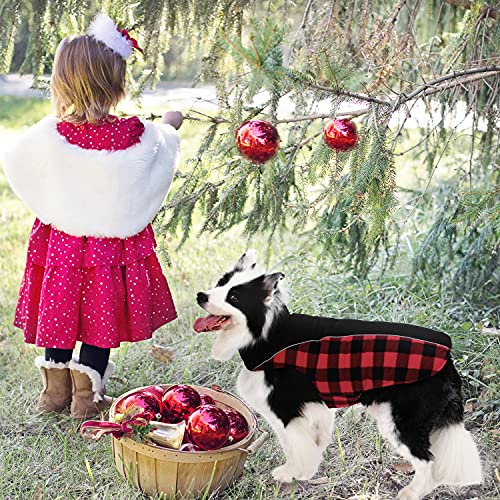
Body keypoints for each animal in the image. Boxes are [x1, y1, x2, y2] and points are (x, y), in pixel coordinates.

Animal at [193, 252, 482, 498]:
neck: (268, 336)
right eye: (220, 283)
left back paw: (411, 493)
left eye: (234, 298)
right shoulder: (310, 409)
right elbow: (304, 443)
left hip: (404, 422)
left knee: (428, 462)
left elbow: (296, 446)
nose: (200, 296)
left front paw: (292, 474)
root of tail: (447, 355)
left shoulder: (288, 409)